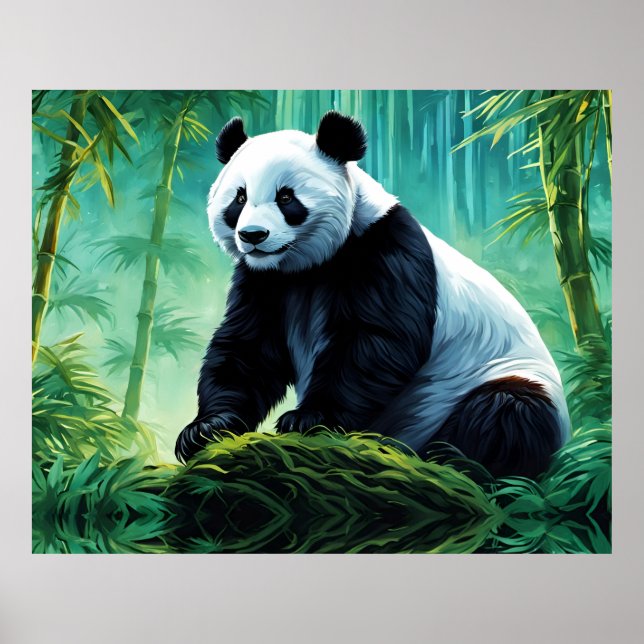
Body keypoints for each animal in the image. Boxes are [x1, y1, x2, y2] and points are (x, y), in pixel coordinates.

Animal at [175, 111, 571, 478]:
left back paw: (446, 459)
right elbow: (249, 347)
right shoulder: (264, 280)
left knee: (506, 413)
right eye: (239, 198)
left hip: (496, 380)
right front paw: (207, 428)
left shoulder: (385, 250)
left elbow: (375, 339)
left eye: (286, 197)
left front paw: (307, 420)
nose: (253, 235)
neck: (308, 265)